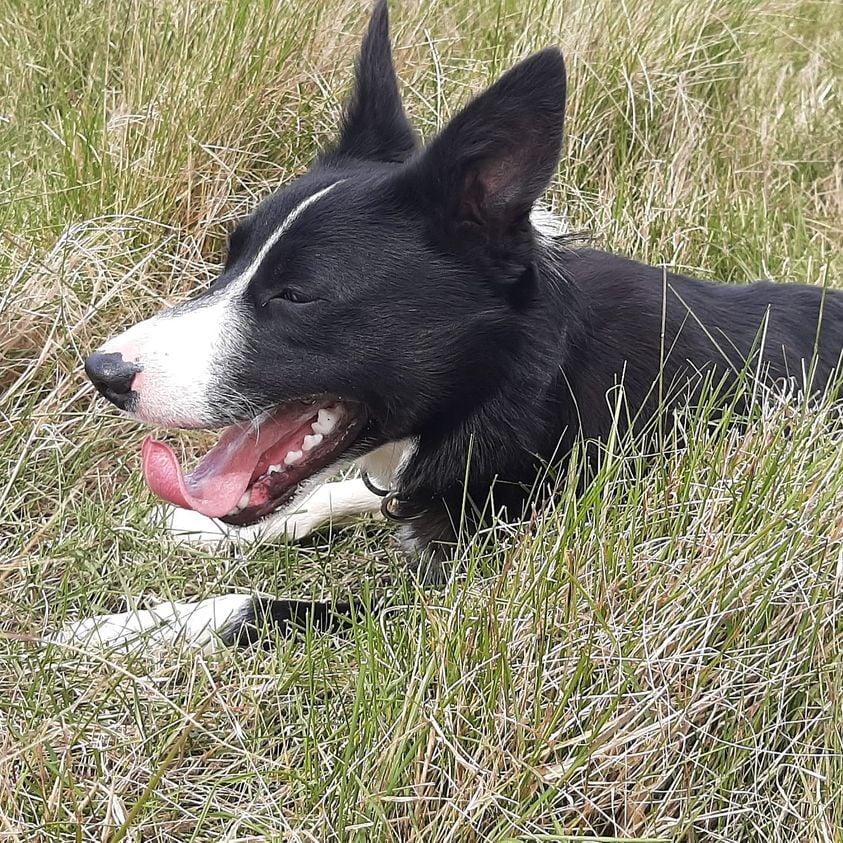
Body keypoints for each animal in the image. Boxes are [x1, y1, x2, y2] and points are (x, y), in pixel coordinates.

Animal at [56, 1, 840, 648]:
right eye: (231, 259)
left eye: (297, 295)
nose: (104, 372)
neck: (522, 376)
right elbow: (340, 492)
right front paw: (205, 525)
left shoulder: (471, 606)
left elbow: (270, 604)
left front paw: (152, 625)